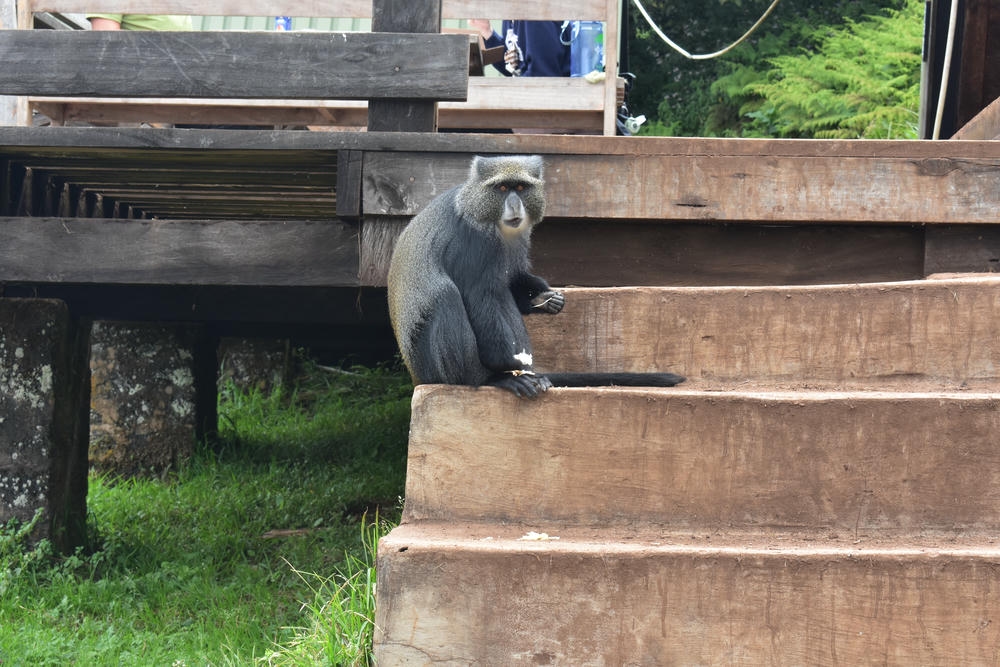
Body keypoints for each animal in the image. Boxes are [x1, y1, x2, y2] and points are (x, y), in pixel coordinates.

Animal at [387, 154, 685, 398]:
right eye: (502, 189)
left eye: (520, 188)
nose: (514, 205)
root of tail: (417, 376)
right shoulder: (473, 244)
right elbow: (481, 295)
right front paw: (510, 365)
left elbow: (513, 280)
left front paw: (546, 297)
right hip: (434, 367)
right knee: (447, 296)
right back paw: (494, 378)